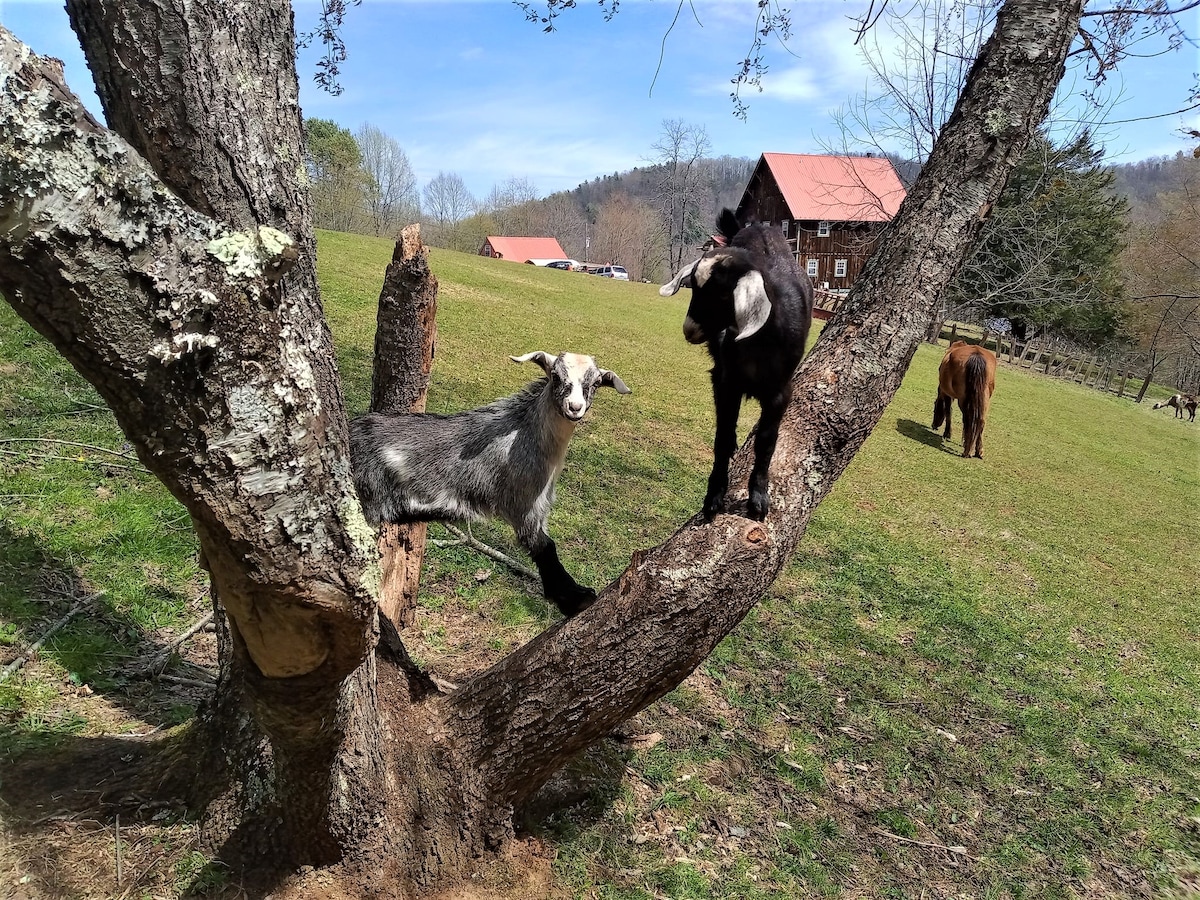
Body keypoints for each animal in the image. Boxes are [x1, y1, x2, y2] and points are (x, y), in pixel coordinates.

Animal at [350, 348, 633, 619]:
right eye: (555, 376)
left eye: (596, 383)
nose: (575, 407)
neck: (524, 436)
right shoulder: (523, 504)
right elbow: (545, 547)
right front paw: (574, 598)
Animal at [657, 211, 816, 520]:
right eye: (693, 288)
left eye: (721, 294)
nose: (689, 330)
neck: (758, 346)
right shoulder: (728, 382)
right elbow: (721, 435)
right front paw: (713, 497)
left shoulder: (780, 391)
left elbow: (766, 441)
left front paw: (758, 499)